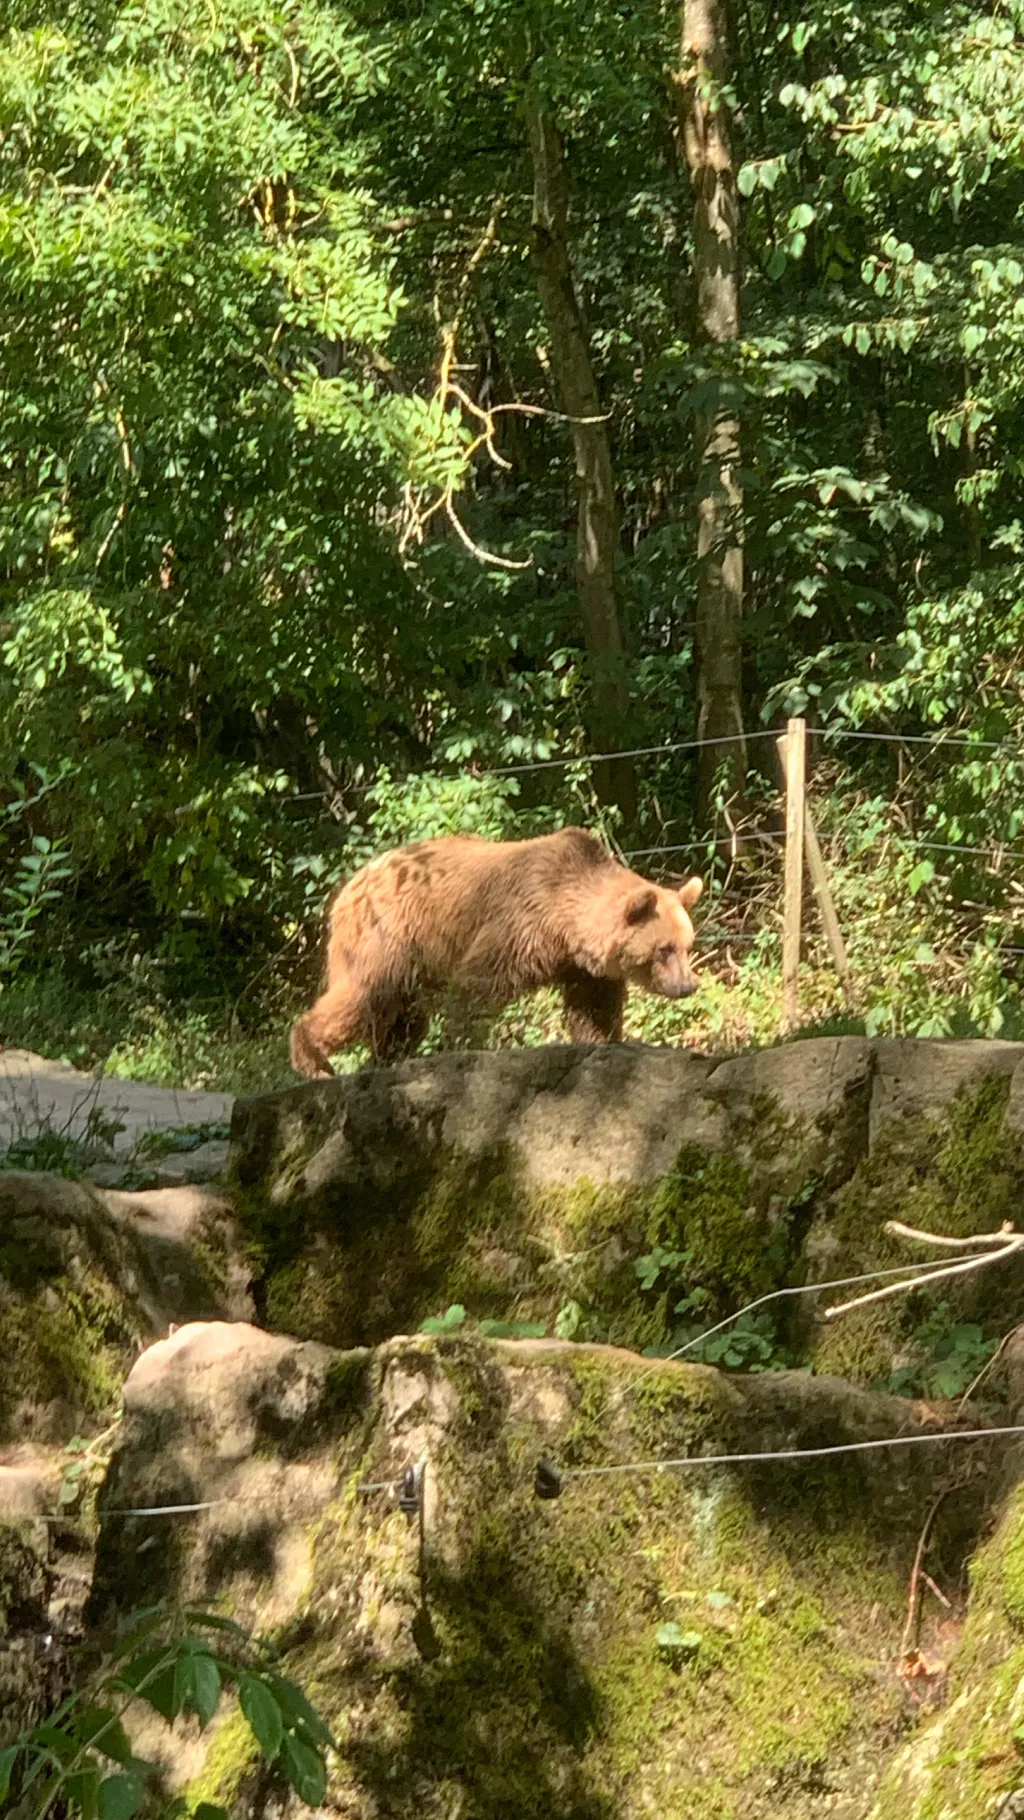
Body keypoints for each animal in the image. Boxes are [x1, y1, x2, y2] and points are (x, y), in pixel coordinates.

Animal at [289, 826, 703, 1077]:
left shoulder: (580, 967)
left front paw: (601, 1041)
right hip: (387, 937)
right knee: (363, 995)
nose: (688, 985)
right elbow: (477, 986)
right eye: (663, 949)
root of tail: (352, 883)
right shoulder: (517, 925)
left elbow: (594, 1008)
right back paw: (313, 1059)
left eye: (687, 946)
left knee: (403, 1018)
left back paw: (387, 1058)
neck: (566, 923)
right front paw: (463, 1046)